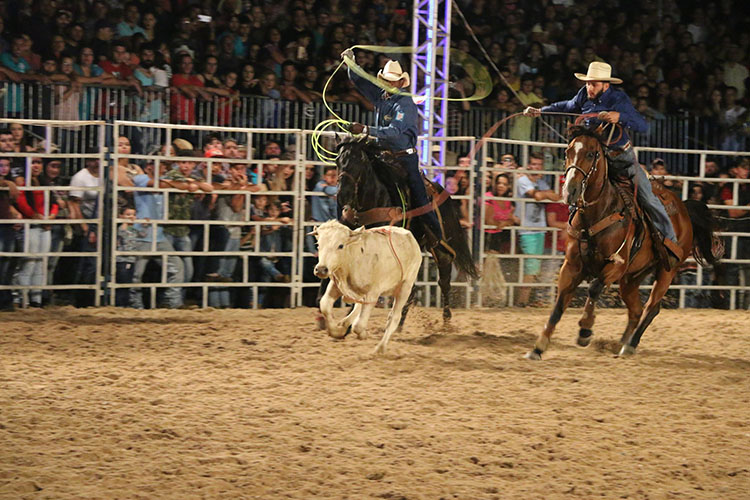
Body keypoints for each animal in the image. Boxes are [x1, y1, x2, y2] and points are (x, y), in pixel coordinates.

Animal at [312, 221, 426, 354]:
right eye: (318, 245)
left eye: (340, 245)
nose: (321, 269)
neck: (354, 257)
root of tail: (411, 237)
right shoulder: (336, 285)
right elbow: (325, 305)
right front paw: (336, 331)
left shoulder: (373, 293)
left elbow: (358, 325)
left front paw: (363, 334)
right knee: (358, 306)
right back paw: (344, 323)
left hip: (405, 286)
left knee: (394, 317)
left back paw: (380, 348)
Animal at [320, 137, 478, 324]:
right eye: (338, 161)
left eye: (359, 160)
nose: (343, 194)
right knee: (410, 289)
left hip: (440, 246)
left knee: (443, 277)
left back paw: (446, 321)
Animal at [524, 126, 724, 360]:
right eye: (567, 153)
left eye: (591, 154)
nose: (570, 191)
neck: (598, 212)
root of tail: (684, 210)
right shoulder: (571, 267)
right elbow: (558, 305)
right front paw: (538, 347)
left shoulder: (617, 265)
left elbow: (594, 288)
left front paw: (585, 331)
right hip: (631, 278)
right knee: (636, 310)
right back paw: (621, 344)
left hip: (667, 270)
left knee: (651, 308)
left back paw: (630, 345)